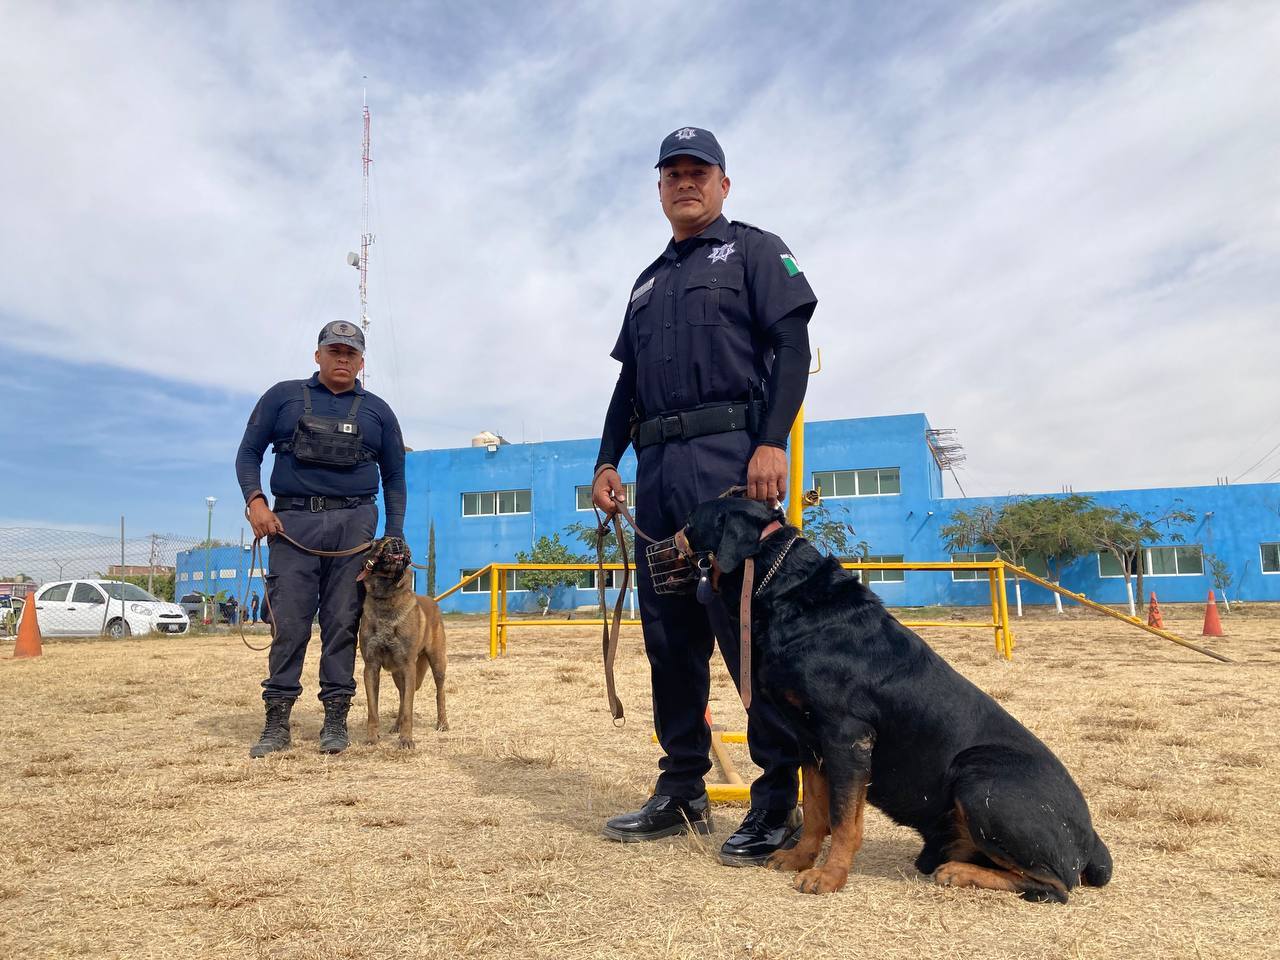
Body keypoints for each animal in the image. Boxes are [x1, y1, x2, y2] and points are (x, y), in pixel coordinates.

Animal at [358, 535, 448, 752]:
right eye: (378, 541)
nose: (398, 540)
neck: (386, 597)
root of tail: (432, 601)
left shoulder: (408, 667)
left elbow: (408, 708)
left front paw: (406, 739)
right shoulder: (371, 667)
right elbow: (373, 710)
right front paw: (372, 738)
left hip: (437, 664)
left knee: (439, 693)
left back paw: (442, 723)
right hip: (398, 673)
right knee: (401, 696)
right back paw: (396, 726)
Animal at [680, 499, 1111, 906]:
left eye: (690, 520)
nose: (673, 533)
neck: (789, 595)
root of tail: (1091, 841)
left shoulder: (848, 737)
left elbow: (844, 819)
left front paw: (829, 877)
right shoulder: (809, 740)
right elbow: (817, 810)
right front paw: (799, 858)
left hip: (980, 780)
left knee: (1054, 885)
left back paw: (959, 872)